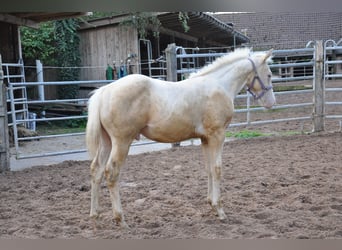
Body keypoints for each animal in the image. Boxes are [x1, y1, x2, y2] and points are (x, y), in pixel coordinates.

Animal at [85, 47, 276, 228]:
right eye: (269, 74)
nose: (271, 103)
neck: (219, 85)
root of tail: (105, 91)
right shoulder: (217, 135)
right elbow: (217, 169)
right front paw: (220, 210)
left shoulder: (205, 138)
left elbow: (208, 168)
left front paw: (211, 205)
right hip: (122, 142)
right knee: (111, 173)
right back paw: (121, 220)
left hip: (107, 142)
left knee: (96, 170)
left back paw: (95, 216)